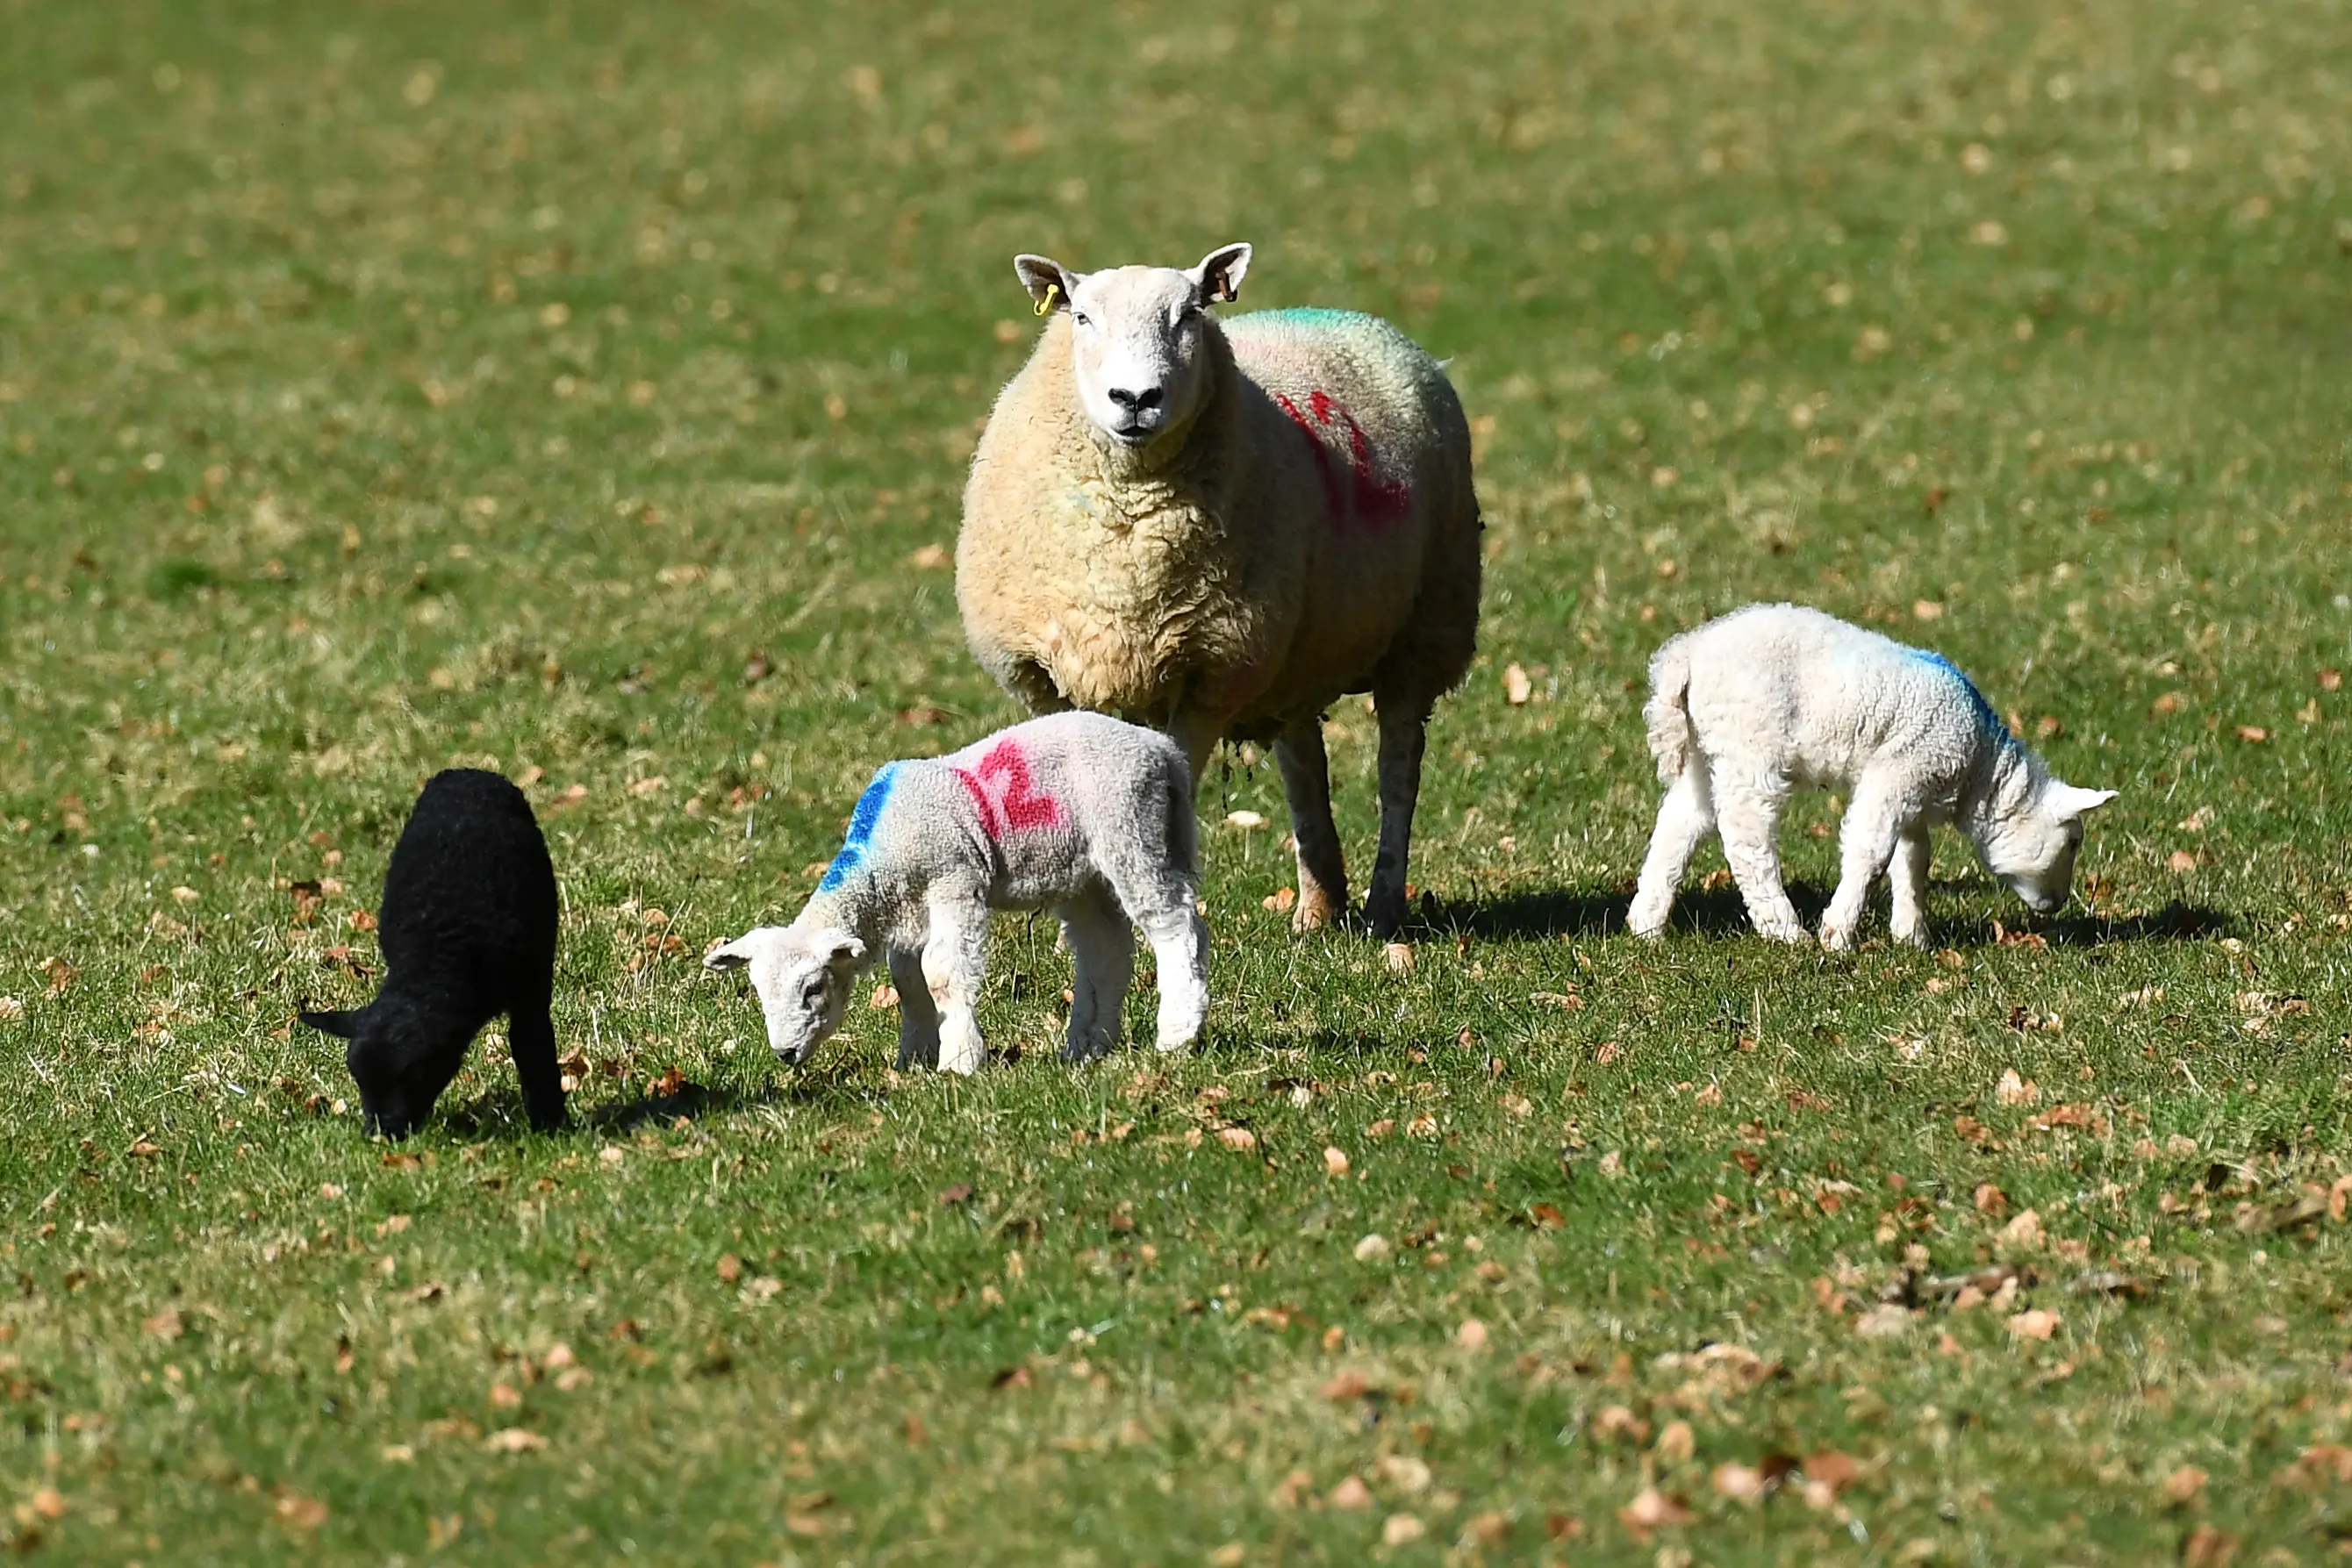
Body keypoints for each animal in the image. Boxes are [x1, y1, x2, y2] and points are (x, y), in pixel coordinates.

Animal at [299, 769, 564, 1138]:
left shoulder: (531, 988)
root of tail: (467, 772)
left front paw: (549, 1124)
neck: (438, 954)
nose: (380, 1135)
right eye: (357, 1078)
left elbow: (532, 1046)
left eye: (414, 1073)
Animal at [704, 711, 1209, 1075]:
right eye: (757, 990)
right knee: (1105, 950)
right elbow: (908, 984)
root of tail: (1163, 750)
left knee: (1175, 926)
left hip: (1132, 829)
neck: (881, 857)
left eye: (813, 988)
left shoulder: (955, 882)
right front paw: (913, 1059)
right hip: (1085, 872)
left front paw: (959, 1061)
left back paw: (1178, 1033)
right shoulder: (908, 912)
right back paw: (1088, 1045)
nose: (784, 1054)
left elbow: (942, 975)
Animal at [955, 242, 1482, 938]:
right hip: (1295, 653)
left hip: (1426, 626)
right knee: (1304, 761)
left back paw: (1384, 905)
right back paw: (1318, 909)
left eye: (1189, 315)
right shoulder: (1046, 675)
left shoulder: (1211, 669)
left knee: (1398, 768)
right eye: (1082, 317)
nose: (1135, 397)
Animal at [1627, 604, 2117, 951]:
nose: (2058, 904)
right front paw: (1839, 935)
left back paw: (1646, 923)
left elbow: (1913, 858)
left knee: (1680, 822)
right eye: (2074, 842)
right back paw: (1784, 929)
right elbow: (1872, 852)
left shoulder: (1914, 786)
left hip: (1704, 749)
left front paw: (1912, 935)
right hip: (1749, 742)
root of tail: (1688, 653)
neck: (1981, 770)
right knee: (1747, 835)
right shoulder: (1898, 771)